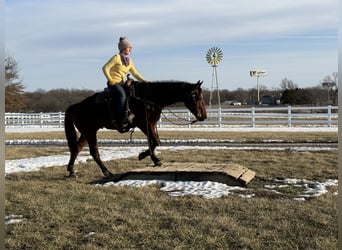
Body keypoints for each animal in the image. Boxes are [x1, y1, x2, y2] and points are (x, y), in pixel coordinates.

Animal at [65, 80, 207, 178]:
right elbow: (155, 141)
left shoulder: (151, 124)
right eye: (197, 96)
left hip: (87, 132)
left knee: (76, 148)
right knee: (94, 152)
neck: (148, 99)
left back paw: (71, 171)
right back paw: (107, 172)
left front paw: (155, 160)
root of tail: (77, 106)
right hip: (90, 132)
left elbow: (154, 141)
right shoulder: (143, 123)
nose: (204, 116)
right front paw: (144, 156)